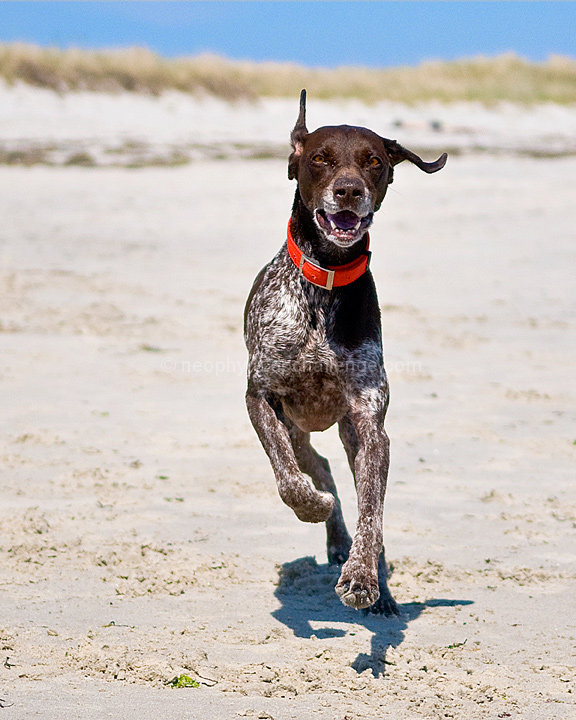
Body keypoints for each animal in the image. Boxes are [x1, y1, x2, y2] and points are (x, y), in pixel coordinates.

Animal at [243, 87, 446, 612]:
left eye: (373, 161)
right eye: (320, 158)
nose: (349, 190)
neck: (326, 284)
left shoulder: (371, 425)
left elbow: (371, 512)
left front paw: (363, 579)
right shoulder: (260, 397)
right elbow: (290, 481)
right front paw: (314, 508)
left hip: (349, 433)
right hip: (298, 430)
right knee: (316, 468)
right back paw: (332, 530)